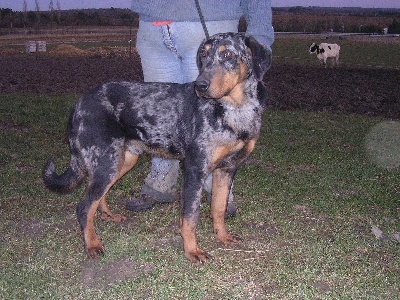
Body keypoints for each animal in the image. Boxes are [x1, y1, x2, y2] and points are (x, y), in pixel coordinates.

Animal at [41, 31, 272, 264]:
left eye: (228, 54)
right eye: (204, 55)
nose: (200, 85)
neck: (234, 109)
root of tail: (79, 103)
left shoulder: (227, 169)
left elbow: (218, 207)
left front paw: (222, 236)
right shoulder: (194, 170)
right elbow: (190, 218)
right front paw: (192, 251)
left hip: (119, 161)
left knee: (95, 197)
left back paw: (108, 216)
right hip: (107, 162)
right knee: (84, 207)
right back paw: (92, 244)